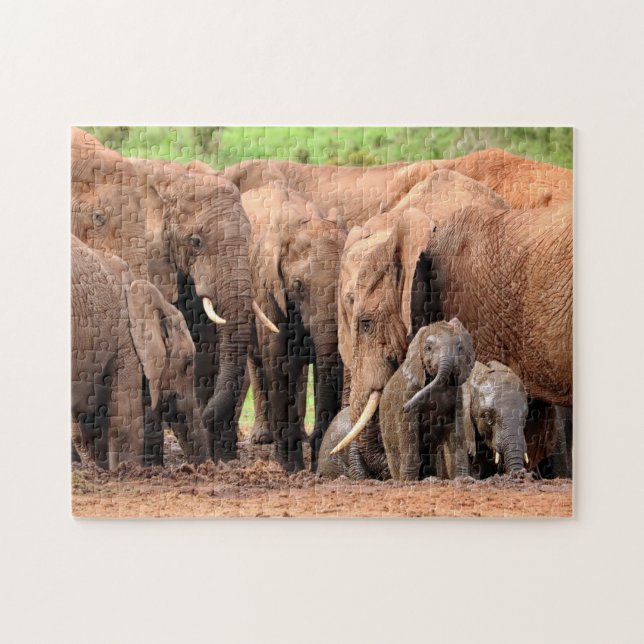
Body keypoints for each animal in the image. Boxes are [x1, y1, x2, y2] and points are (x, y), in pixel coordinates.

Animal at [241, 183, 346, 472]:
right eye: (298, 285)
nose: (318, 440)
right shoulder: (266, 287)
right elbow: (278, 362)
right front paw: (290, 467)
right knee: (258, 361)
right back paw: (263, 438)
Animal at [370, 319, 475, 481]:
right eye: (428, 348)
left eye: (460, 348)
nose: (405, 407)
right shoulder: (409, 390)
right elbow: (409, 429)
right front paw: (408, 481)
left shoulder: (458, 394)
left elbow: (457, 431)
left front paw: (463, 479)